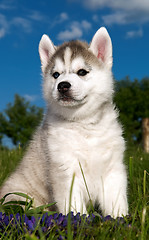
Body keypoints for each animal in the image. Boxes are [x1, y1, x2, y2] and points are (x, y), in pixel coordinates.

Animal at [0, 27, 128, 218]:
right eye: (55, 75)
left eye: (82, 72)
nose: (63, 85)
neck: (83, 123)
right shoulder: (65, 170)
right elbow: (74, 207)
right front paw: (80, 222)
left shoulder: (112, 169)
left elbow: (116, 202)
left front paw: (122, 221)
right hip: (17, 197)